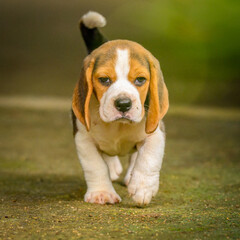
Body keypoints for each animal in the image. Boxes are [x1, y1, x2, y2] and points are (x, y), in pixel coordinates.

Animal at [71, 11, 169, 205]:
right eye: (104, 80)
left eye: (140, 79)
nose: (123, 104)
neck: (118, 126)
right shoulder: (83, 137)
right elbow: (95, 165)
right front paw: (101, 193)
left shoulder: (156, 132)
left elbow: (148, 159)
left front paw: (142, 188)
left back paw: (130, 176)